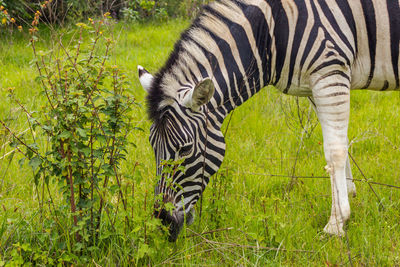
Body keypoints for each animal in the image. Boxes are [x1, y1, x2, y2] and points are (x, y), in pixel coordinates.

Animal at [138, 0, 400, 243]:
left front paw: (336, 224)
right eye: (152, 147)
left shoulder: (330, 73)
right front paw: (350, 198)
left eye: (185, 149)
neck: (271, 30)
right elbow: (341, 143)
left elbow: (334, 151)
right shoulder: (316, 85)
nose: (162, 222)